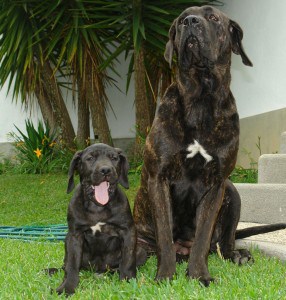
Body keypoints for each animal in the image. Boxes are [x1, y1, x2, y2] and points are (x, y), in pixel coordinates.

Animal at [54, 144, 139, 296]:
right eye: (90, 158)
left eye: (114, 158)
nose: (105, 170)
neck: (97, 207)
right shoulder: (74, 235)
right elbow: (72, 264)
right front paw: (67, 287)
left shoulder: (128, 231)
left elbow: (128, 260)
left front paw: (128, 282)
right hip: (66, 241)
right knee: (66, 265)